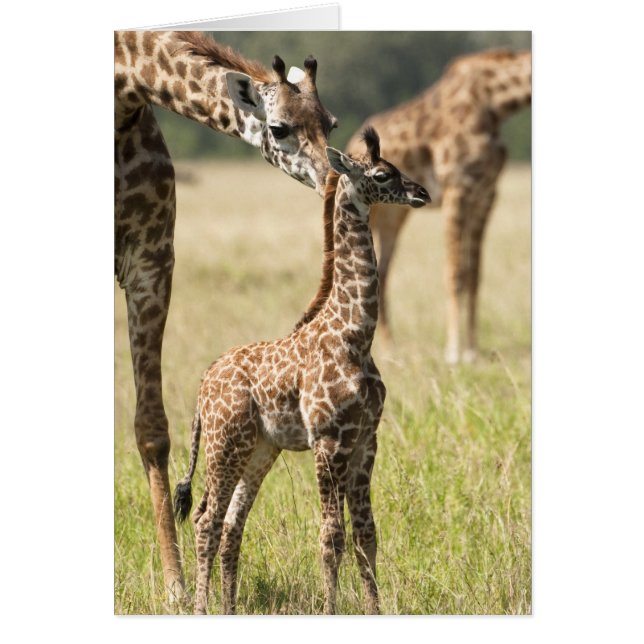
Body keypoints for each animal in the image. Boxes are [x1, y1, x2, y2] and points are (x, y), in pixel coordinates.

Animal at [114, 30, 336, 602]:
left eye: (329, 123)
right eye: (279, 128)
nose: (335, 179)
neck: (122, 95)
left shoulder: (151, 258)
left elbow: (152, 426)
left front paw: (176, 586)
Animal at [173, 127, 430, 615]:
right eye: (382, 174)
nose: (422, 193)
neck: (355, 334)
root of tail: (202, 384)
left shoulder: (366, 439)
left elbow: (366, 534)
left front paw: (375, 609)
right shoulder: (328, 441)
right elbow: (331, 536)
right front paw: (331, 610)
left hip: (259, 450)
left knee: (231, 524)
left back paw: (227, 607)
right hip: (223, 444)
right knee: (206, 520)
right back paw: (201, 607)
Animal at [346, 49, 531, 363]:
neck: (495, 103)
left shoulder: (486, 194)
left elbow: (475, 276)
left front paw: (472, 351)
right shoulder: (457, 187)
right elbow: (456, 273)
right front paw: (453, 353)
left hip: (394, 214)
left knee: (382, 272)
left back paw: (390, 351)